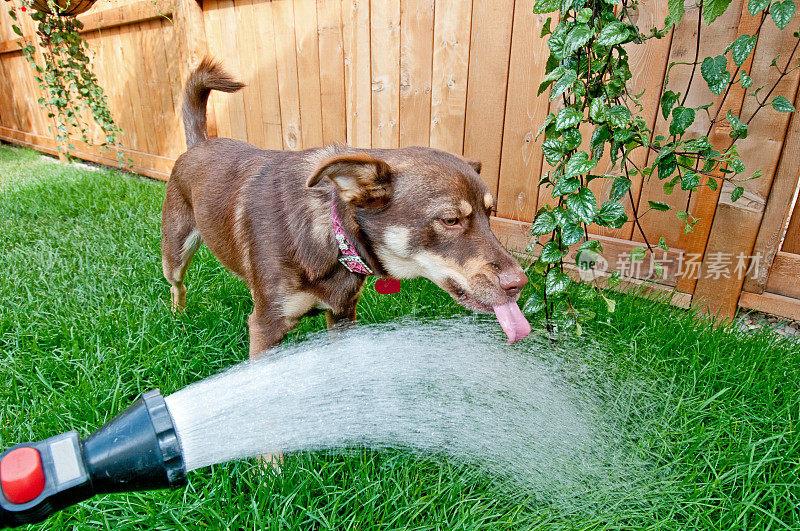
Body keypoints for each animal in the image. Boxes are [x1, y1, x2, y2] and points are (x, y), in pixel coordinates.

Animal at [161, 58, 532, 360]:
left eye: (489, 215)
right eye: (451, 220)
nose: (520, 284)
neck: (333, 238)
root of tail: (198, 144)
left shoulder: (342, 315)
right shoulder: (267, 327)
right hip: (175, 249)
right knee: (177, 284)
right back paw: (178, 317)